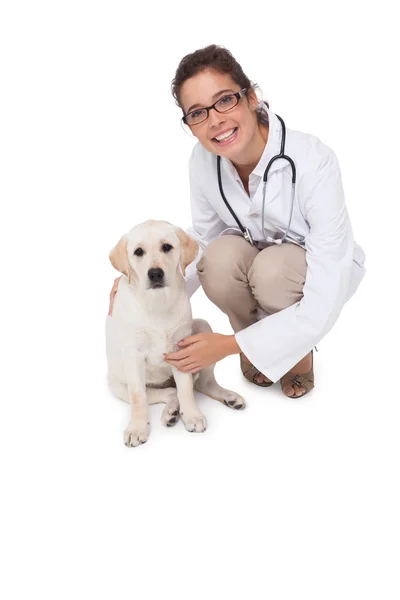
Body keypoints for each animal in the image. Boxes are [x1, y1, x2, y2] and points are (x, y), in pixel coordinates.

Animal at [105, 219, 244, 446]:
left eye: (167, 247)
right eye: (138, 251)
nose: (155, 273)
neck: (157, 302)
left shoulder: (183, 348)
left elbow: (186, 388)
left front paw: (192, 416)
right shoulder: (133, 355)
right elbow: (138, 397)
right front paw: (137, 428)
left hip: (203, 326)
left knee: (200, 384)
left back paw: (227, 397)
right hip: (116, 384)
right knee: (168, 392)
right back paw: (170, 413)